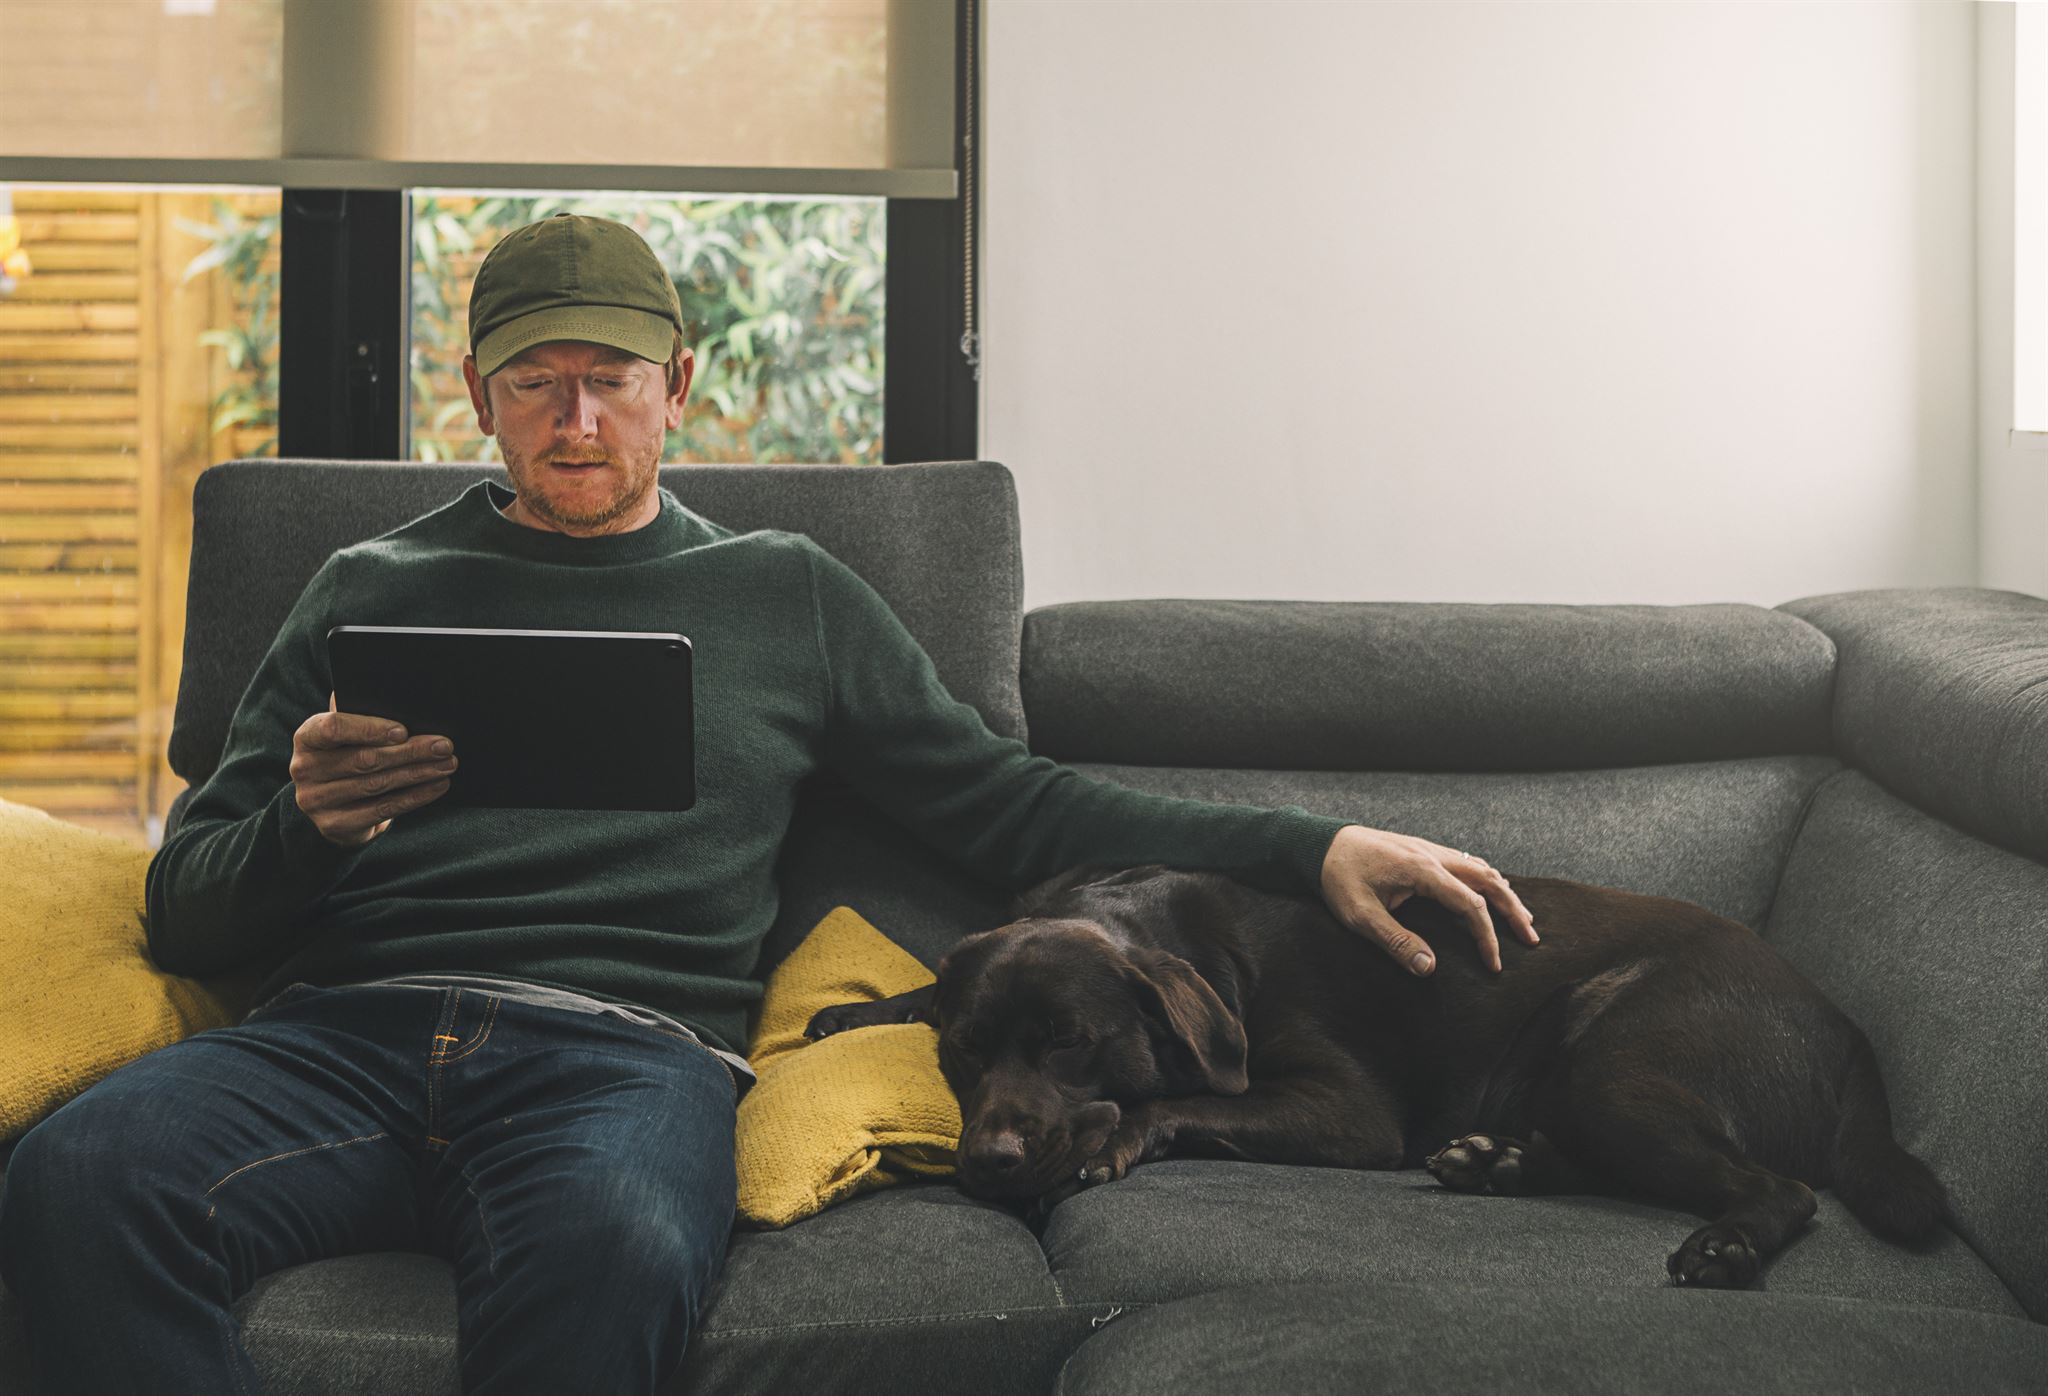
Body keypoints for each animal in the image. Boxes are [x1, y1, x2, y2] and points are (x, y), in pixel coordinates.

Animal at [802, 859, 1949, 1285]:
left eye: (1071, 1043)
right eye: (965, 1052)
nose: (990, 1161)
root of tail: (1845, 1026)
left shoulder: (1347, 1109)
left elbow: (1183, 1095)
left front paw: (1110, 1137)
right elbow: (924, 981)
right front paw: (851, 1011)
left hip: (1618, 1061)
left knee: (1779, 1187)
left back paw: (1722, 1244)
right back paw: (1495, 1163)